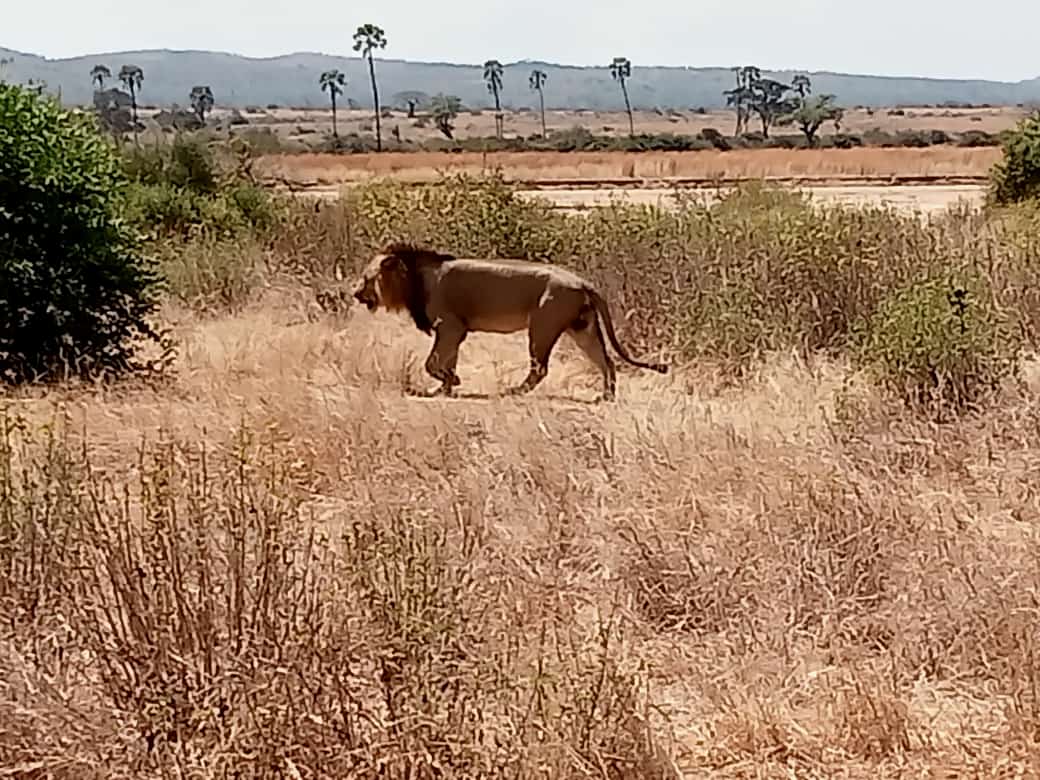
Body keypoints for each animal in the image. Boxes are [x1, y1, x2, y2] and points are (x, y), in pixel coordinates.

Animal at [349, 241, 665, 399]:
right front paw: (444, 389)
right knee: (606, 361)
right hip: (582, 329)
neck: (415, 277)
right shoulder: (454, 331)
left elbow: (433, 362)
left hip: (542, 326)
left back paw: (512, 391)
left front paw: (449, 382)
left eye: (366, 278)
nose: (354, 293)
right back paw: (606, 396)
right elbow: (446, 361)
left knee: (540, 369)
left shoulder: (449, 325)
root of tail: (583, 282)